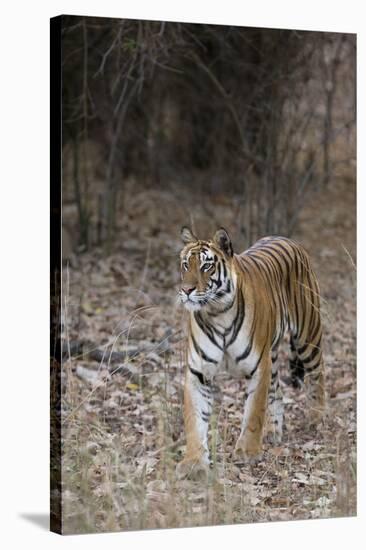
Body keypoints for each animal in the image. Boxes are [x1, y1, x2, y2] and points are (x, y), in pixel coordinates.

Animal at [176, 226, 324, 480]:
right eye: (186, 265)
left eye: (206, 266)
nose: (186, 290)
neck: (217, 312)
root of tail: (286, 239)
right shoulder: (198, 372)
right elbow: (194, 420)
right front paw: (194, 462)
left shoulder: (259, 367)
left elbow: (254, 411)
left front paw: (247, 452)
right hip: (273, 355)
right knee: (277, 391)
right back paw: (273, 432)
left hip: (308, 335)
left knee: (317, 376)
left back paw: (318, 419)